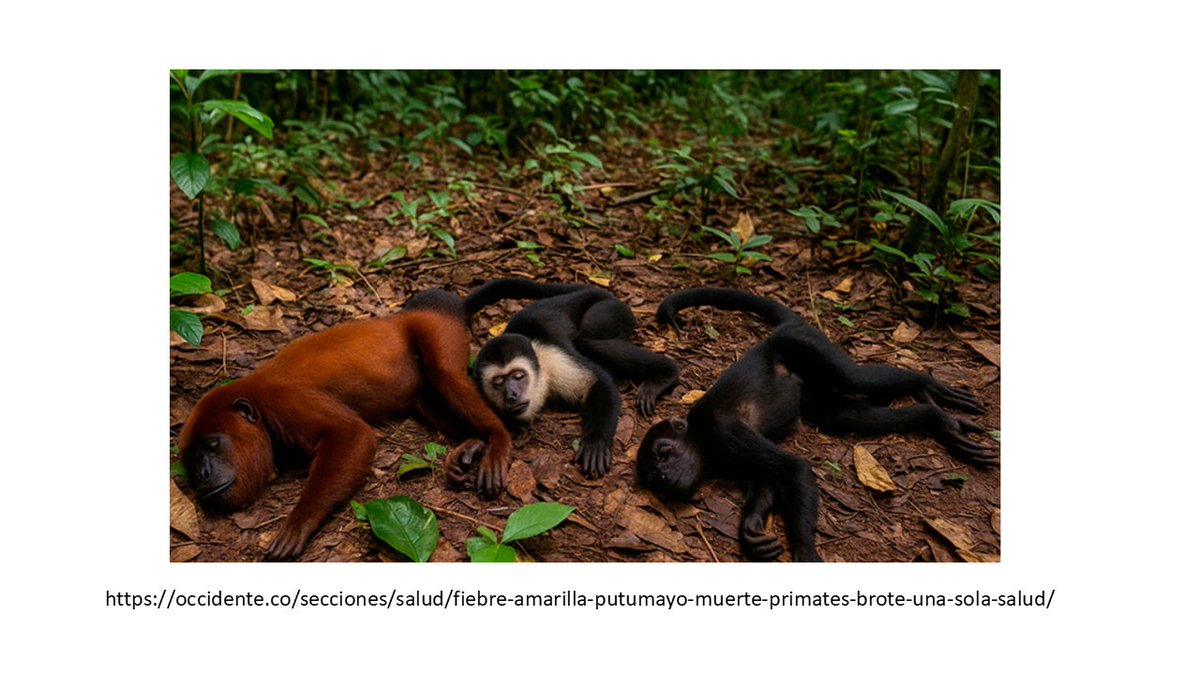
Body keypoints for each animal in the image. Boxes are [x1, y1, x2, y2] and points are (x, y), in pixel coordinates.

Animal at [177, 289, 512, 561]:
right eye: (192, 459)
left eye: (213, 444)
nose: (203, 474)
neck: (253, 397)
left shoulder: (283, 400)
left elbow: (352, 434)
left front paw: (297, 524)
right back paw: (471, 445)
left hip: (438, 332)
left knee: (445, 372)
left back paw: (497, 439)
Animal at [454, 278, 679, 480]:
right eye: (499, 382)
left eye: (518, 376)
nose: (512, 395)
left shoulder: (554, 358)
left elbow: (598, 381)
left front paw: (595, 443)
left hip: (611, 311)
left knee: (587, 339)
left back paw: (666, 373)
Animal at [636, 288, 995, 562]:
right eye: (652, 475)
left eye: (664, 453)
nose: (664, 476)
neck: (703, 442)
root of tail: (778, 333)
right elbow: (766, 483)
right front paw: (752, 534)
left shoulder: (723, 429)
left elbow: (793, 469)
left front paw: (805, 551)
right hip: (810, 389)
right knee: (847, 416)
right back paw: (937, 421)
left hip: (804, 344)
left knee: (856, 377)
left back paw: (926, 385)